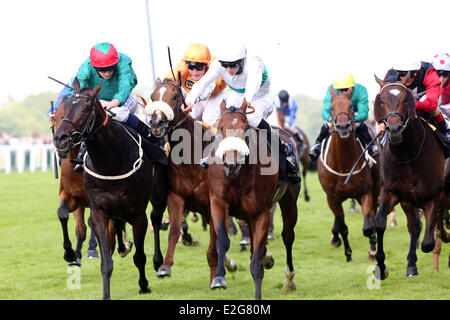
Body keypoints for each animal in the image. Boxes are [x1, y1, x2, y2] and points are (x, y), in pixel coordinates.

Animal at [52, 79, 168, 298]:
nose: (60, 138)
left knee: (156, 219)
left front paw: (143, 285)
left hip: (158, 195)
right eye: (66, 107)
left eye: (86, 108)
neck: (112, 162)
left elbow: (140, 256)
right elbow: (105, 260)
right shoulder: (97, 210)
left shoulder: (138, 214)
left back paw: (159, 262)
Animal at [147, 78, 239, 278]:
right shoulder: (176, 197)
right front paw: (165, 266)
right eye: (152, 97)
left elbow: (214, 246)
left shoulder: (213, 203)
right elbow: (174, 230)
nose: (157, 123)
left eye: (175, 96)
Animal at [207, 100, 298, 300]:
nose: (231, 165)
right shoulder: (218, 203)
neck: (239, 175)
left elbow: (256, 262)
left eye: (245, 128)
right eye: (220, 127)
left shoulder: (260, 213)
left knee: (288, 237)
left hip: (289, 201)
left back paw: (289, 280)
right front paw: (219, 278)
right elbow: (222, 240)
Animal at [316, 86, 380, 262]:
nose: (343, 126)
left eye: (351, 106)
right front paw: (348, 253)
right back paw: (335, 237)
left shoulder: (365, 192)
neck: (344, 166)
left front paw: (373, 250)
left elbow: (368, 226)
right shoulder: (332, 198)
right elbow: (343, 227)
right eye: (331, 108)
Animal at [370, 74, 448, 278]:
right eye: (382, 100)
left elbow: (428, 243)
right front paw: (381, 266)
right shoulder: (391, 192)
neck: (408, 157)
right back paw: (412, 265)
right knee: (414, 226)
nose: (394, 129)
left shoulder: (433, 197)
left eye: (405, 99)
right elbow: (379, 223)